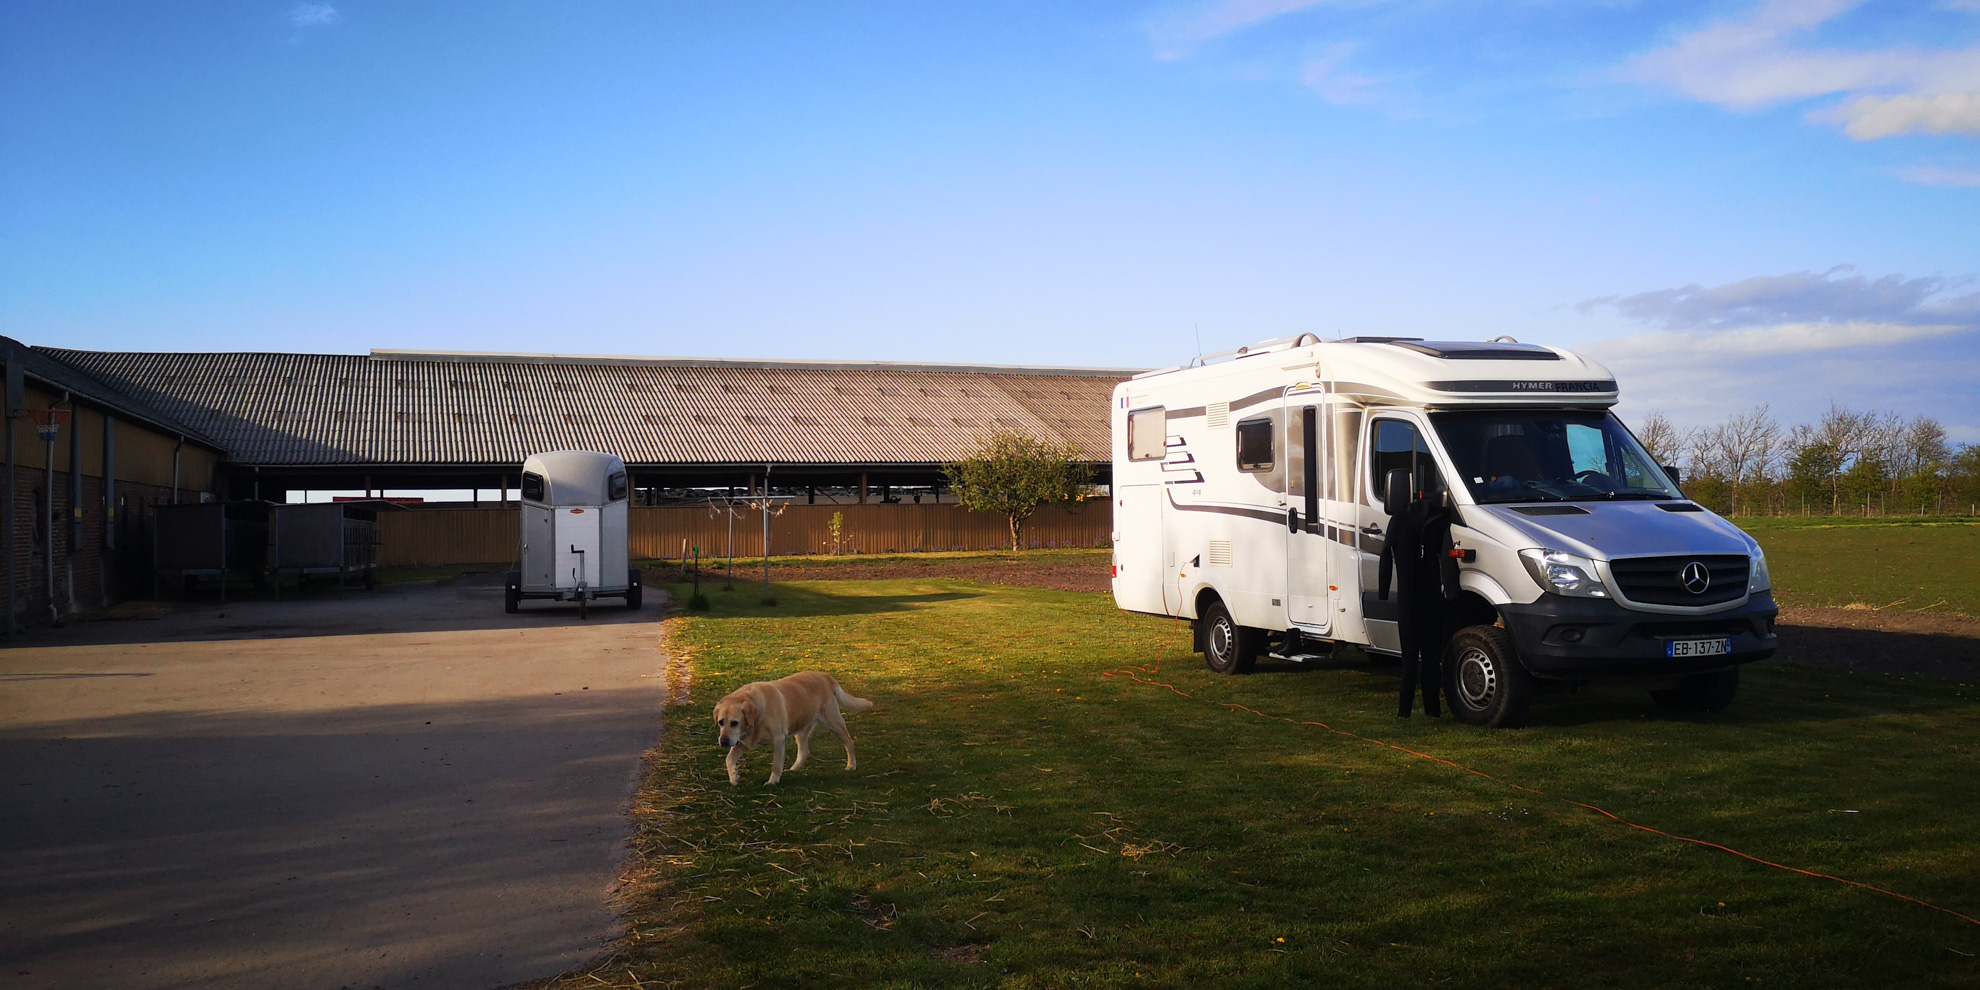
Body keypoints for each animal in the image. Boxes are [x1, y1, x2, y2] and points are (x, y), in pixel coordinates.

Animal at [713, 671, 873, 786]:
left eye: (735, 722)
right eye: (720, 722)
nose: (723, 742)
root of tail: (824, 675)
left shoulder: (778, 740)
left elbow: (776, 764)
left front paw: (772, 781)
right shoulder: (742, 742)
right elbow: (728, 759)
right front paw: (734, 777)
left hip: (834, 723)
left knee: (849, 742)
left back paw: (851, 765)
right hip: (801, 728)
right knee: (804, 752)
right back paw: (793, 770)